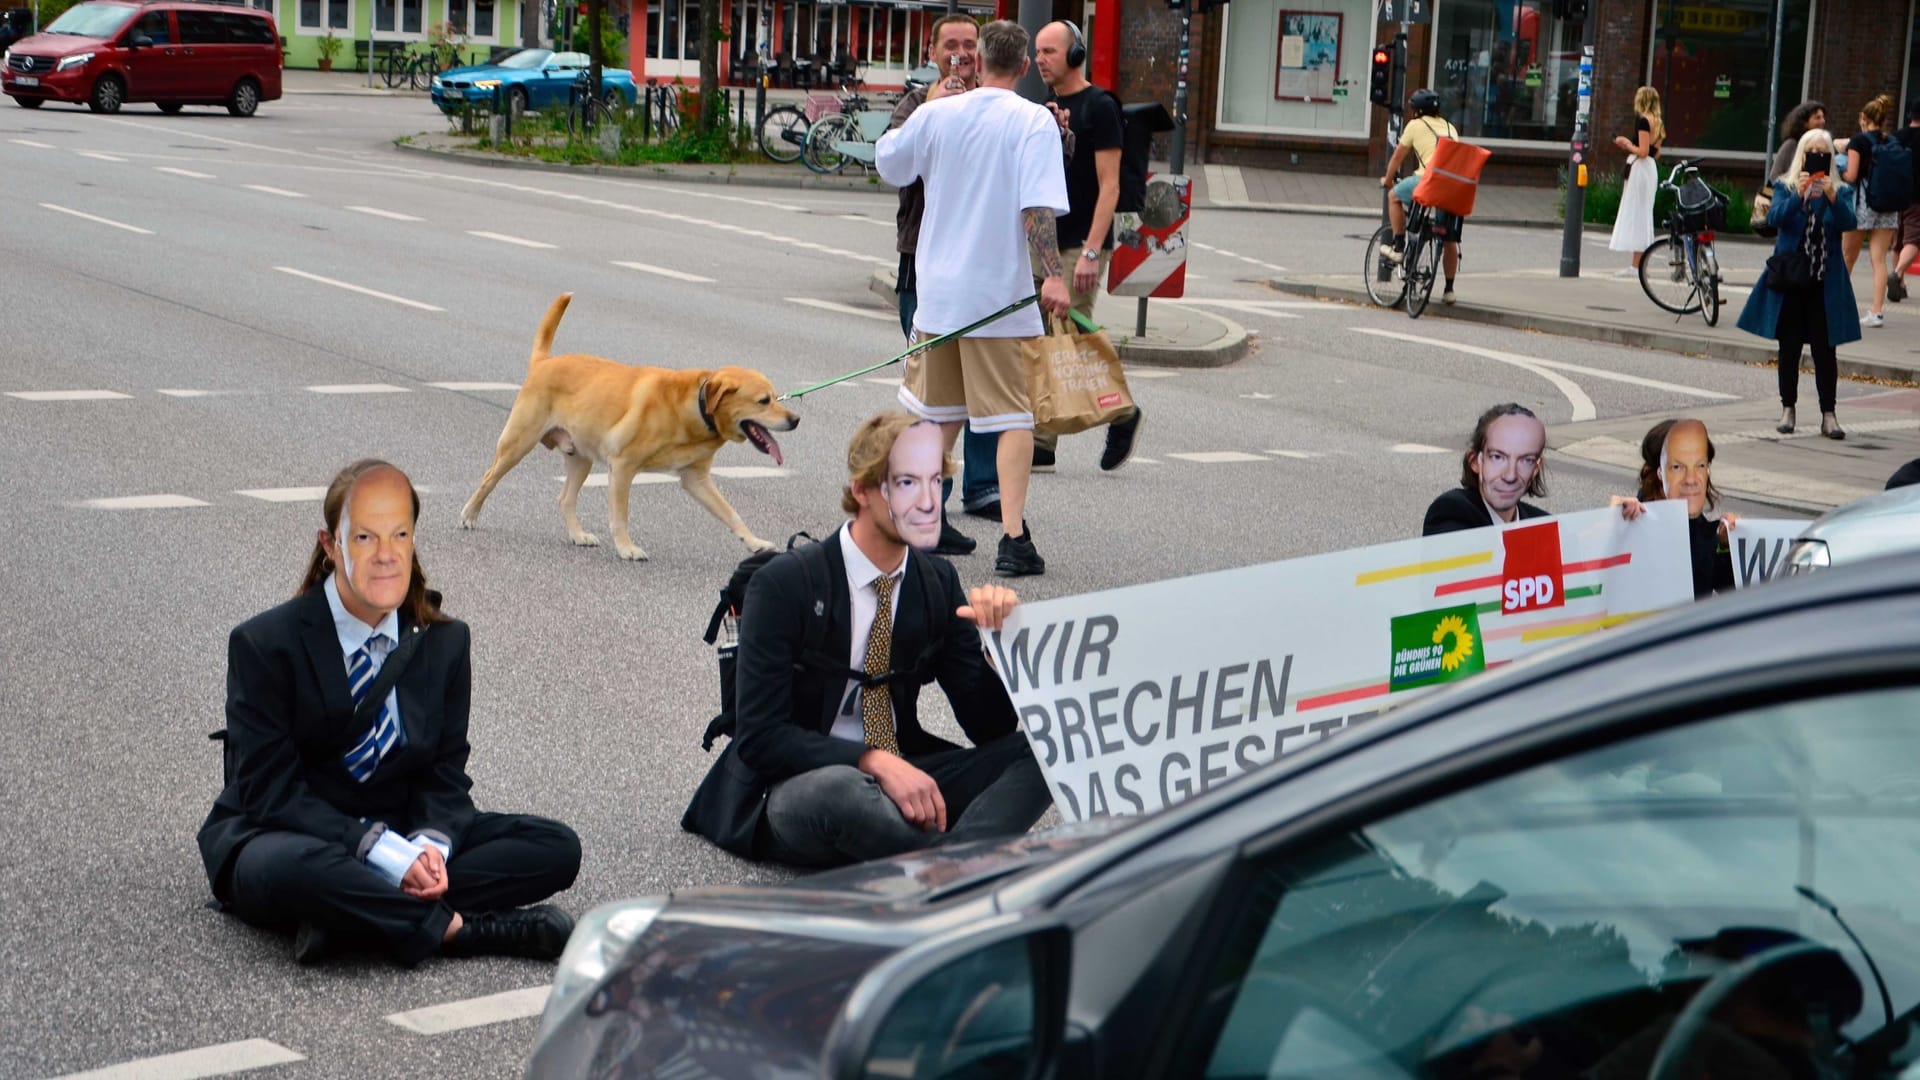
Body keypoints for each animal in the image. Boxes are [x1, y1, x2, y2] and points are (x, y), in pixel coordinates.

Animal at [460, 294, 798, 564]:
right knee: (488, 478)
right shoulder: (623, 468)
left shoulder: (697, 479)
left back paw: (578, 534)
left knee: (565, 499)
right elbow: (620, 516)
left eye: (774, 396)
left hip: (580, 457)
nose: (795, 419)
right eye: (764, 400)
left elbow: (730, 513)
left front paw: (755, 543)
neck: (694, 409)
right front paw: (626, 548)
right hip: (518, 444)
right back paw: (470, 515)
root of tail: (544, 362)